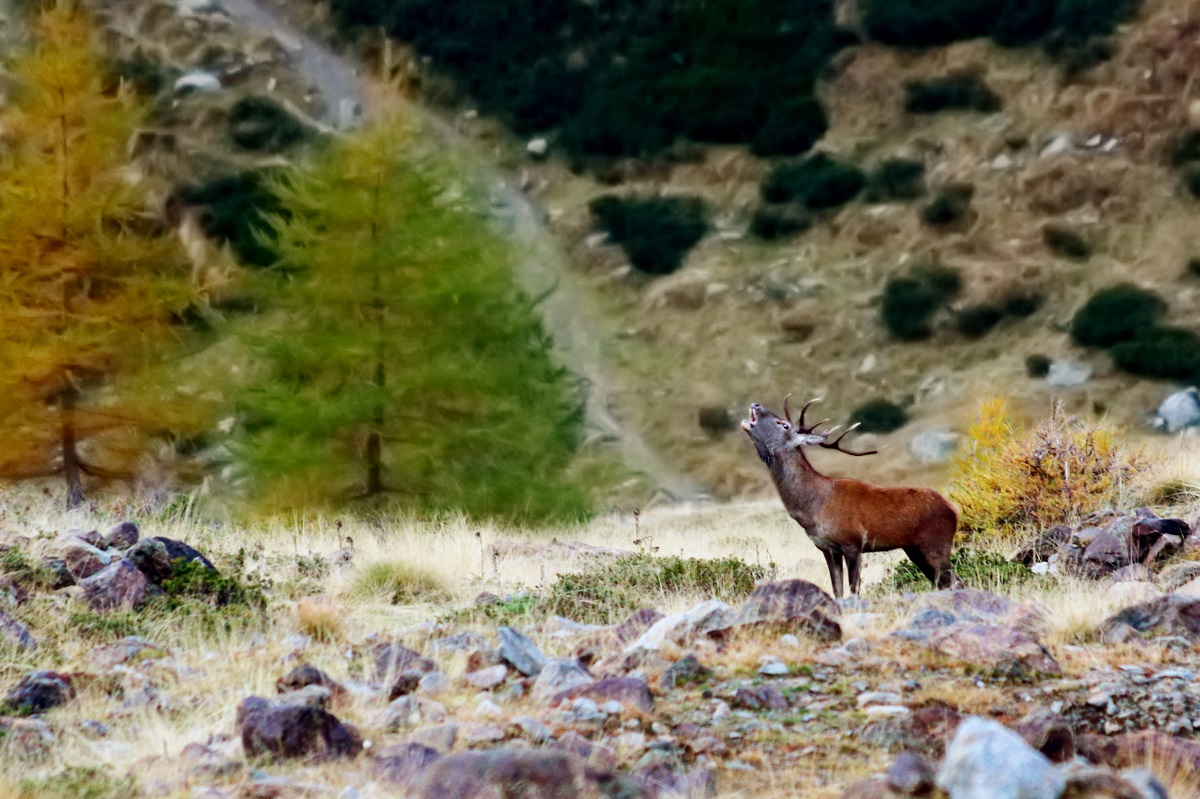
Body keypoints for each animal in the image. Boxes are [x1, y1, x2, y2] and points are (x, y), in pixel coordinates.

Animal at [742, 397, 960, 598]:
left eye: (784, 424)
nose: (756, 404)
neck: (814, 507)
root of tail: (953, 509)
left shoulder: (853, 543)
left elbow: (854, 589)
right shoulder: (827, 549)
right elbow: (837, 590)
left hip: (936, 542)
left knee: (955, 580)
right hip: (914, 549)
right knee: (944, 582)